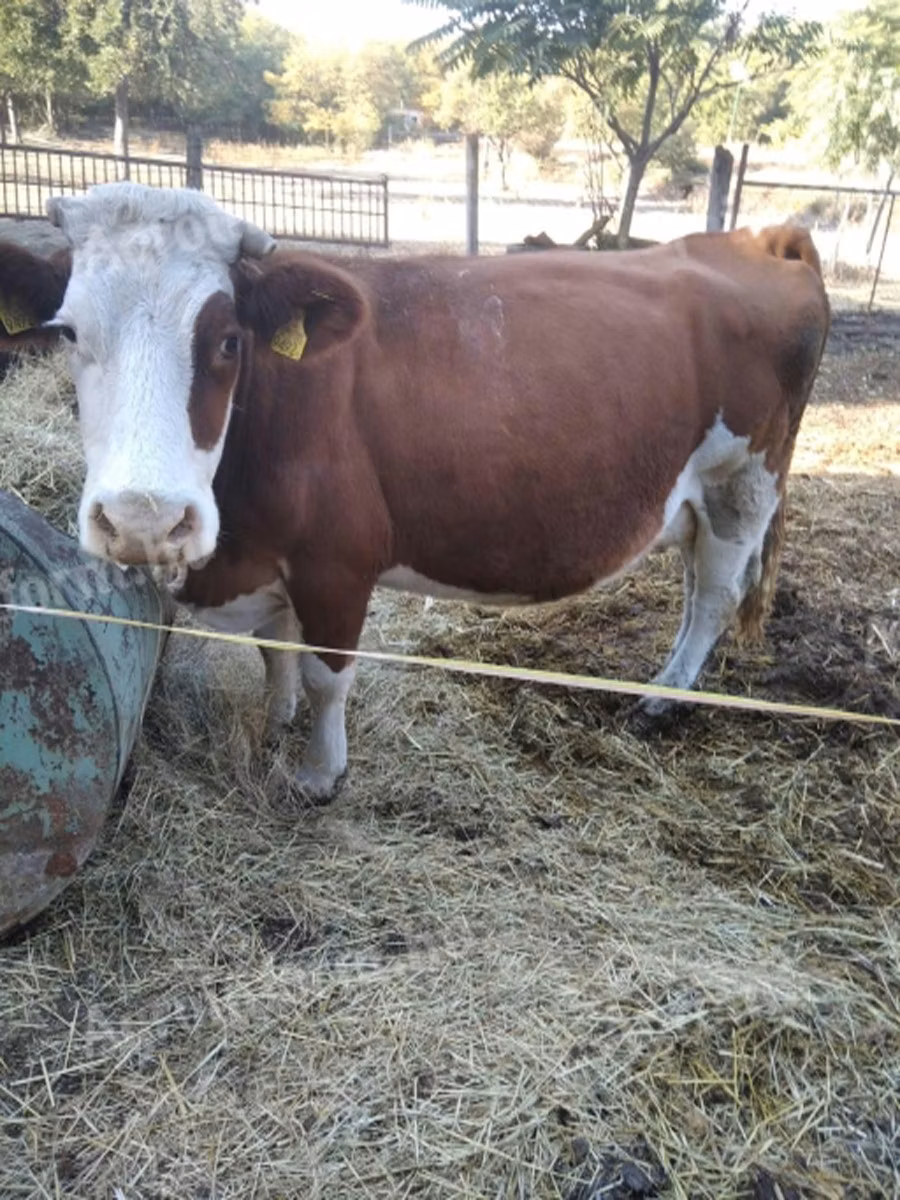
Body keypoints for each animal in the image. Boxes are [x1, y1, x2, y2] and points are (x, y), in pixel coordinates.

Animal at [0, 183, 829, 800]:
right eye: (68, 332)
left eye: (228, 340)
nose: (145, 519)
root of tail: (758, 237)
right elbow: (276, 648)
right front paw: (276, 717)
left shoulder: (338, 559)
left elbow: (327, 672)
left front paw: (319, 773)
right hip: (700, 495)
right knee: (694, 585)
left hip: (744, 480)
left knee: (714, 596)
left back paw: (662, 699)